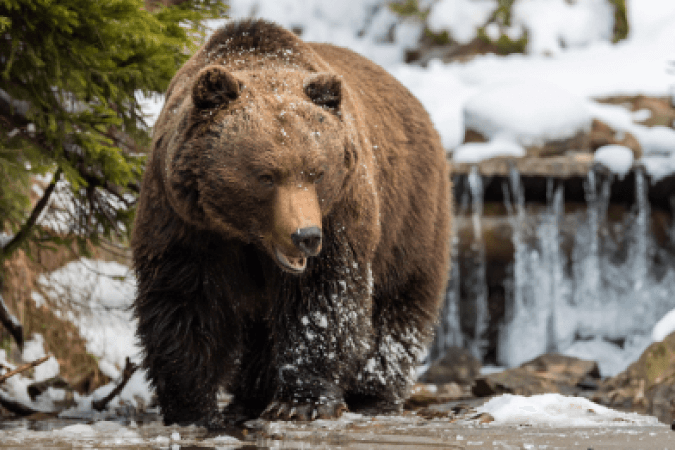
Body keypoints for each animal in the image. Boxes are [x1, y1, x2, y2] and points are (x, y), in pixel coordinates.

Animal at [132, 19, 451, 427]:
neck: (246, 235)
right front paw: (192, 407)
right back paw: (249, 398)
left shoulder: (340, 213)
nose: (306, 236)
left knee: (399, 304)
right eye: (266, 176)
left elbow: (322, 300)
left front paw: (302, 401)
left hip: (411, 214)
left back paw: (373, 394)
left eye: (317, 172)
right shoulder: (185, 220)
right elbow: (185, 300)